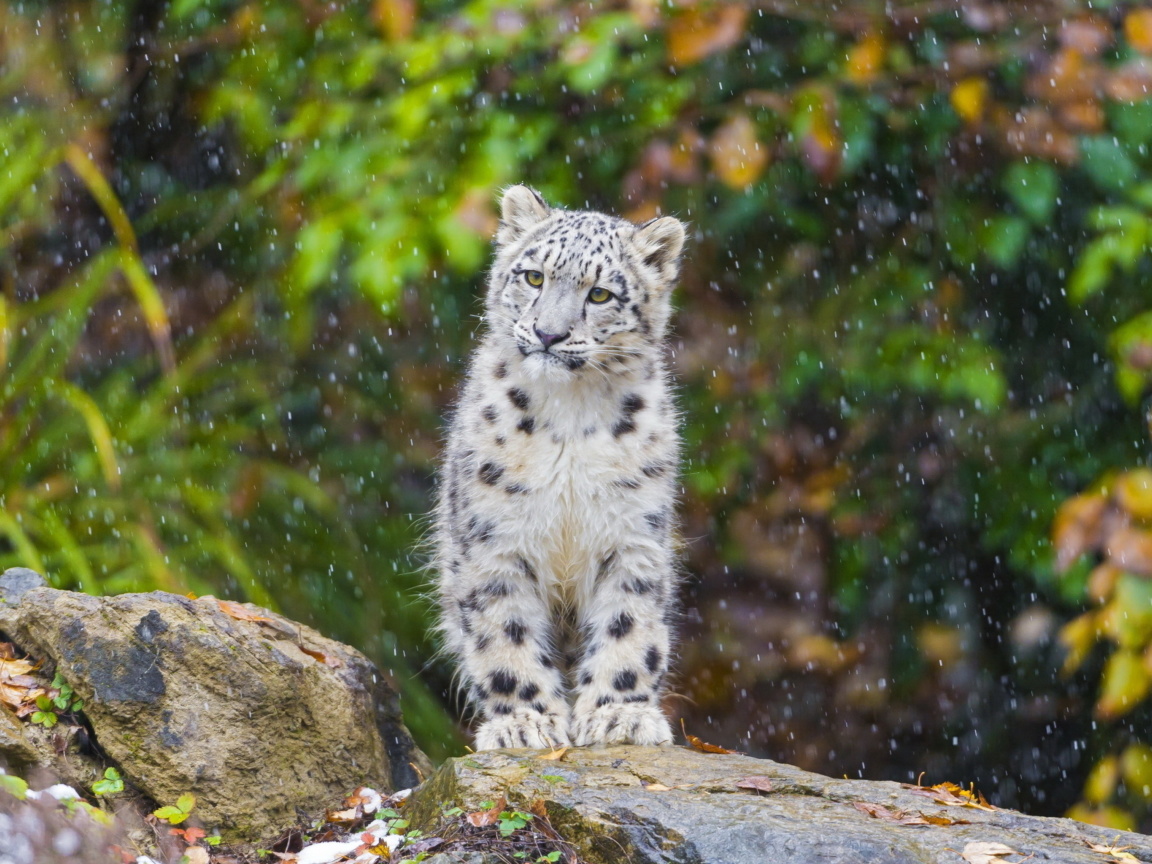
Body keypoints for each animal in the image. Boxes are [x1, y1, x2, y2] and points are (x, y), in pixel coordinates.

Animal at [433, 184, 681, 751]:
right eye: (533, 277)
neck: (570, 414)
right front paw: (524, 721)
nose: (548, 333)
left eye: (601, 295)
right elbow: (504, 631)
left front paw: (619, 714)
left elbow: (628, 624)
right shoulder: (494, 540)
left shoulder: (633, 536)